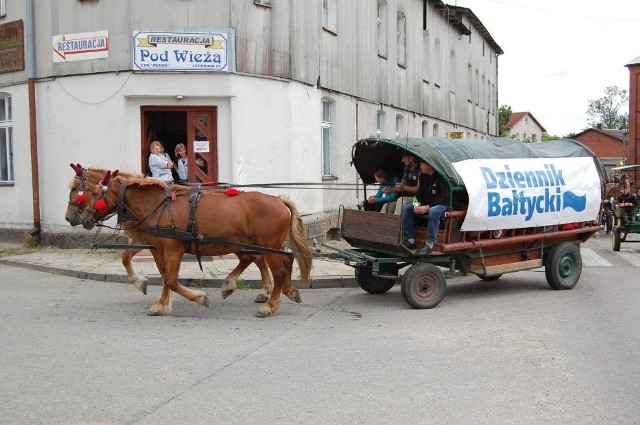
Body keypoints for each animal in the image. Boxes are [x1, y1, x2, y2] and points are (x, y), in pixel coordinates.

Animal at [67, 169, 312, 314]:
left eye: (92, 193)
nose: (77, 218)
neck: (158, 205)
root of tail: (280, 200)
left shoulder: (172, 248)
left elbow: (171, 280)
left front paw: (198, 297)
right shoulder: (156, 246)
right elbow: (163, 275)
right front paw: (162, 302)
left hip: (267, 247)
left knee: (278, 270)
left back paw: (270, 304)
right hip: (262, 246)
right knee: (283, 261)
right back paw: (281, 291)